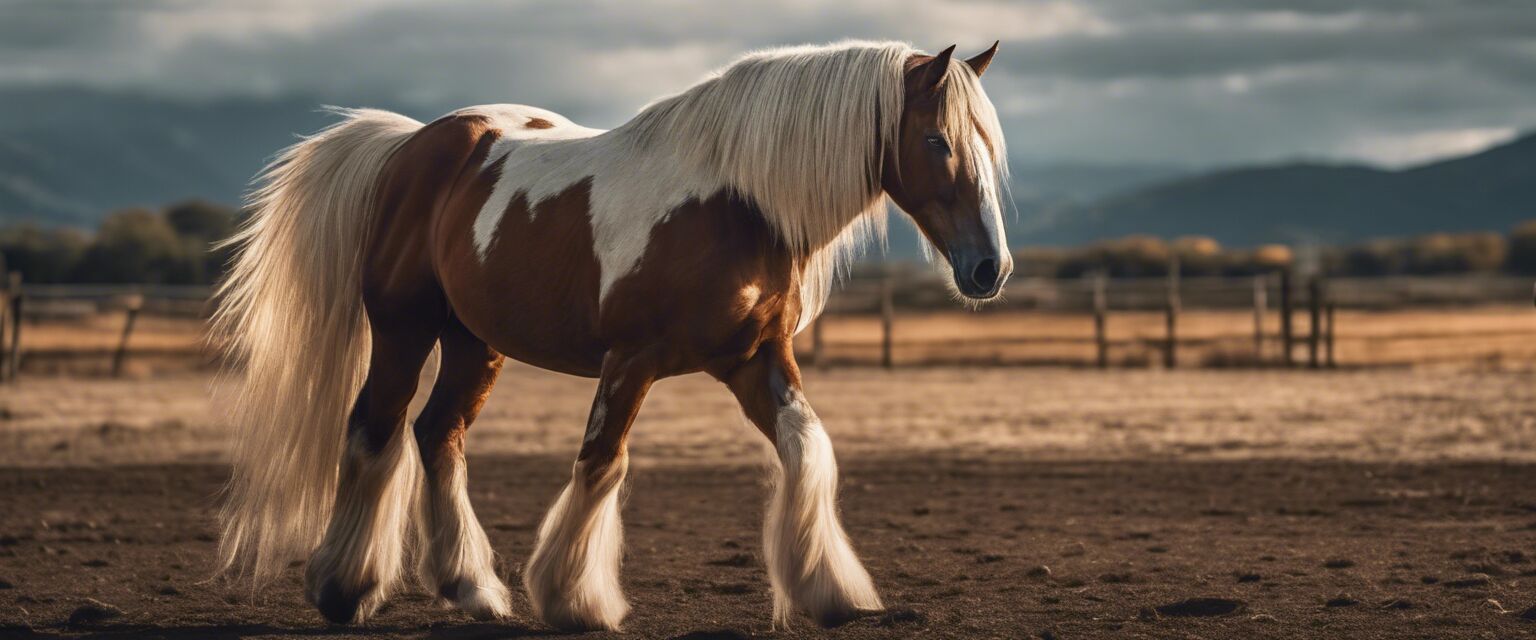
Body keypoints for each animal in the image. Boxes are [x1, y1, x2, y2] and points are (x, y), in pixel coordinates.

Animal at [213, 39, 1007, 629]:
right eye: (936, 139)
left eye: (987, 146)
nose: (988, 267)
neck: (735, 202)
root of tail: (410, 144)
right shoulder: (631, 359)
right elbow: (601, 462)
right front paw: (573, 599)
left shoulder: (756, 359)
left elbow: (810, 449)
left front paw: (829, 590)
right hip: (405, 329)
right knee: (375, 428)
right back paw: (344, 588)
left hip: (475, 342)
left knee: (438, 435)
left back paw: (473, 589)